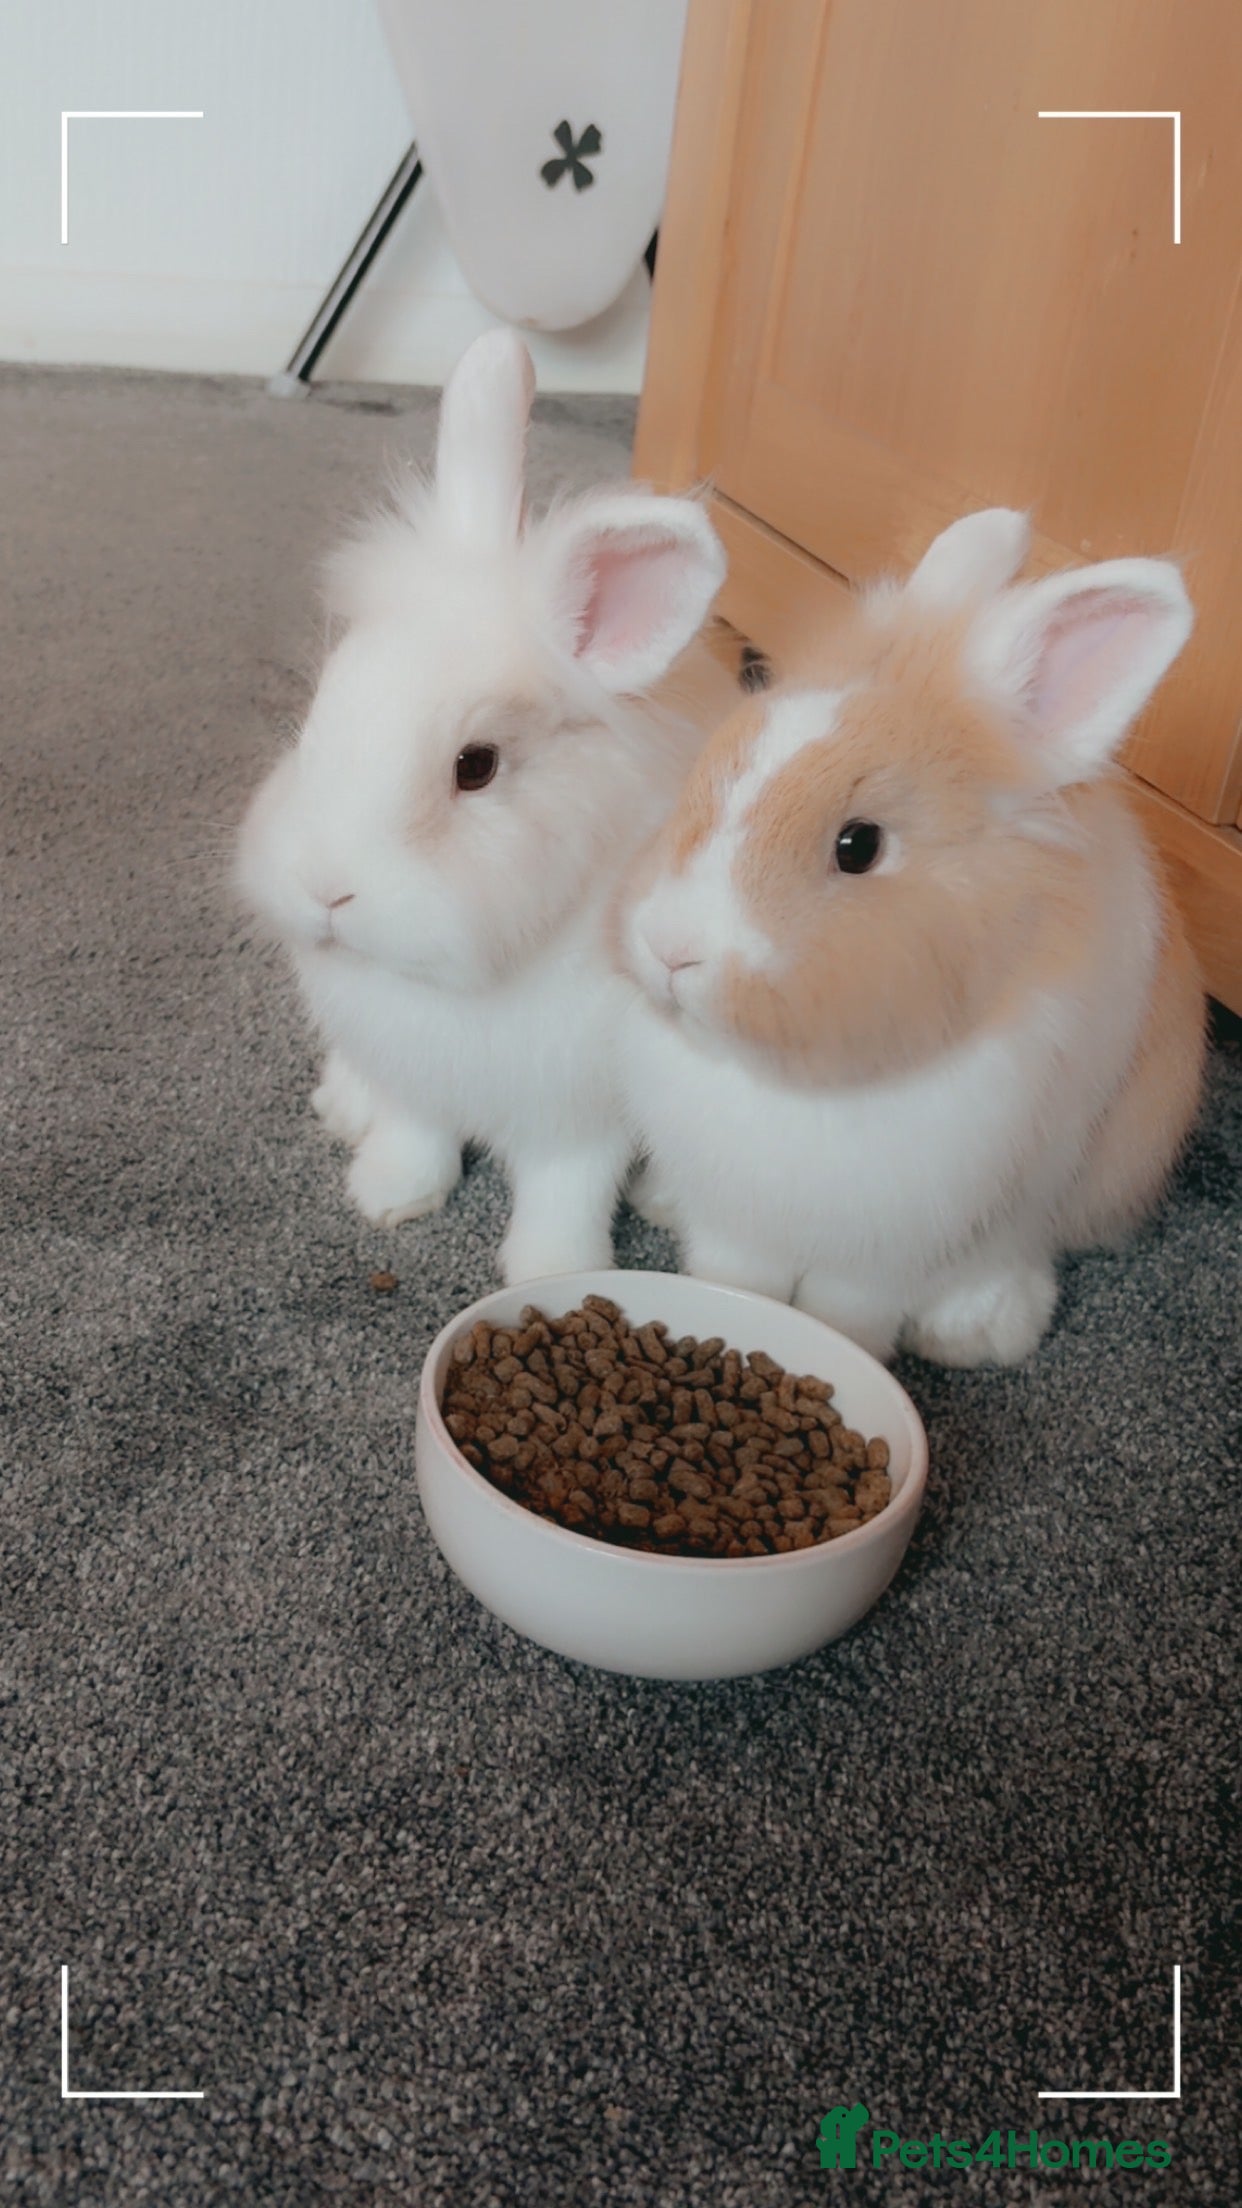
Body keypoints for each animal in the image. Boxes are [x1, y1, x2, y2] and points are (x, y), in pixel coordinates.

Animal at [236, 328, 725, 1283]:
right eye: (320, 711)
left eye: (476, 766)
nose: (325, 891)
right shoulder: (414, 1076)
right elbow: (414, 1135)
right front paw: (387, 1196)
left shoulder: (581, 1115)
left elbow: (567, 1192)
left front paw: (555, 1272)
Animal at [612, 507, 1205, 1366]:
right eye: (711, 767)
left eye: (858, 846)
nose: (668, 948)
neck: (792, 1084)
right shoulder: (736, 1215)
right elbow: (735, 1277)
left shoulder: (897, 1241)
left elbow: (847, 1309)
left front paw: (845, 1349)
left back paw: (979, 1332)